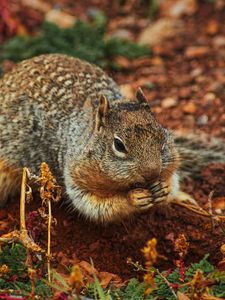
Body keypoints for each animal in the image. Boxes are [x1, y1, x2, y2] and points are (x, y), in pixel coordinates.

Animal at [0, 54, 224, 223]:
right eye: (118, 145)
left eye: (162, 136)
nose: (152, 173)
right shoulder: (75, 176)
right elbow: (96, 205)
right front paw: (134, 198)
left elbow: (172, 179)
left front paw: (164, 188)